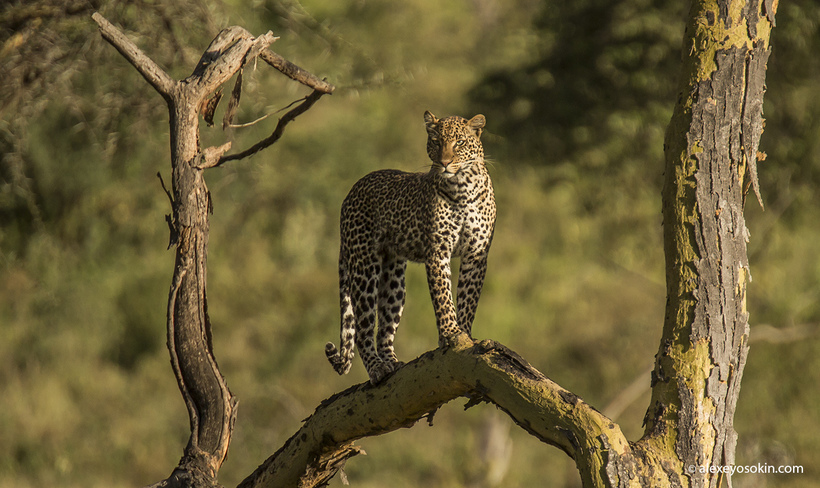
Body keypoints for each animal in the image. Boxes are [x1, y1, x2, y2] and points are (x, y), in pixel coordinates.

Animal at [326, 111, 494, 386]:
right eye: (436, 142)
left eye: (459, 142)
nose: (445, 163)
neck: (463, 186)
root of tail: (351, 192)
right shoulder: (438, 252)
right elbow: (444, 298)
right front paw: (450, 334)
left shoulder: (476, 254)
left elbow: (468, 299)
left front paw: (465, 335)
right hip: (364, 265)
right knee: (363, 328)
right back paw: (377, 368)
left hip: (394, 277)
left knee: (384, 329)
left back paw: (393, 363)